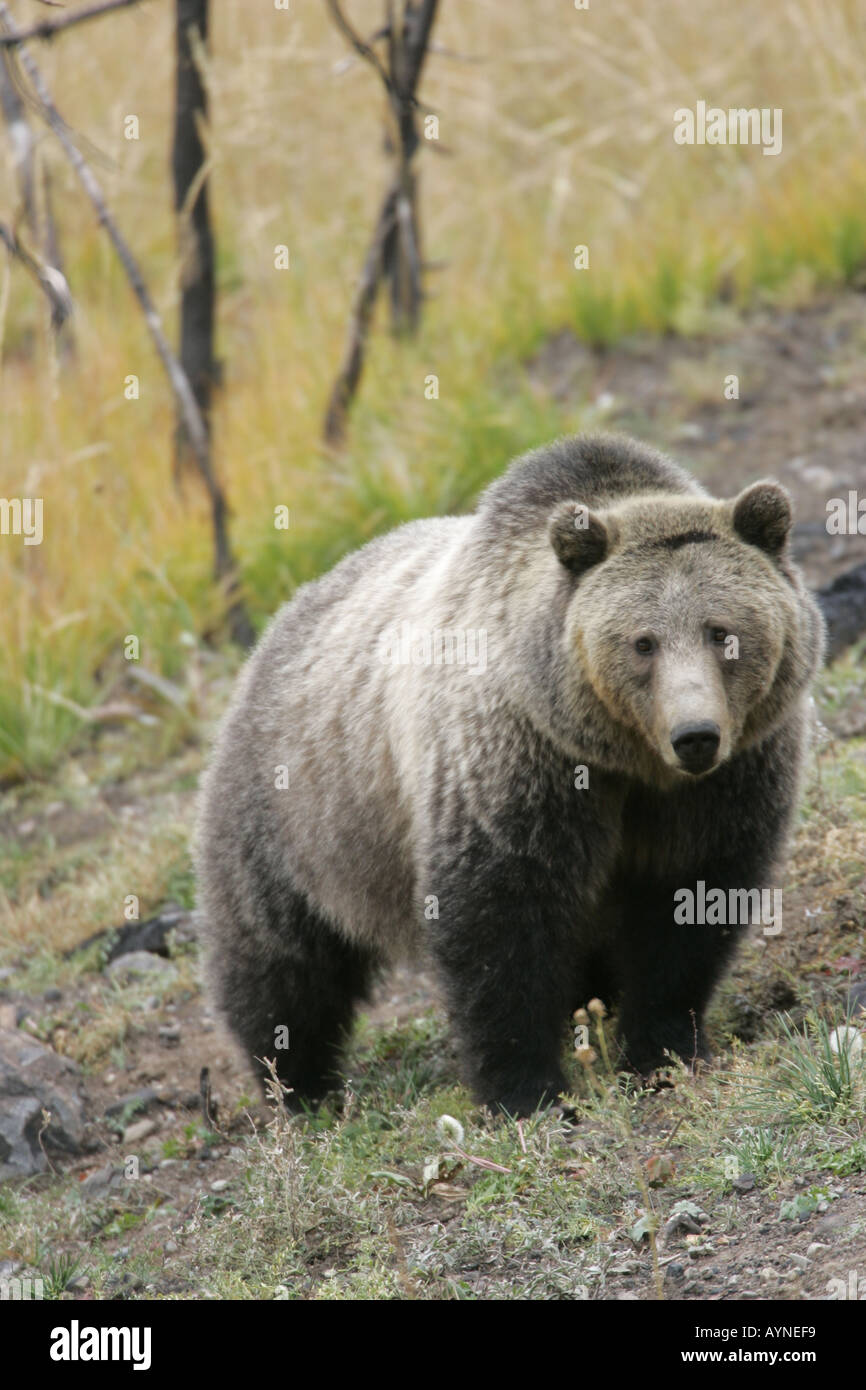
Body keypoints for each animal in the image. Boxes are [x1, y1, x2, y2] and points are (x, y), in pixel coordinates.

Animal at [194, 433, 824, 1116]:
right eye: (643, 642)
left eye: (722, 633)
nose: (695, 736)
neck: (629, 761)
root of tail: (276, 628)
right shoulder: (519, 759)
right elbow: (500, 919)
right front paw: (527, 1089)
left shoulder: (727, 781)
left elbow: (689, 902)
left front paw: (663, 1050)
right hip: (295, 811)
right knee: (280, 960)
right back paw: (300, 1085)